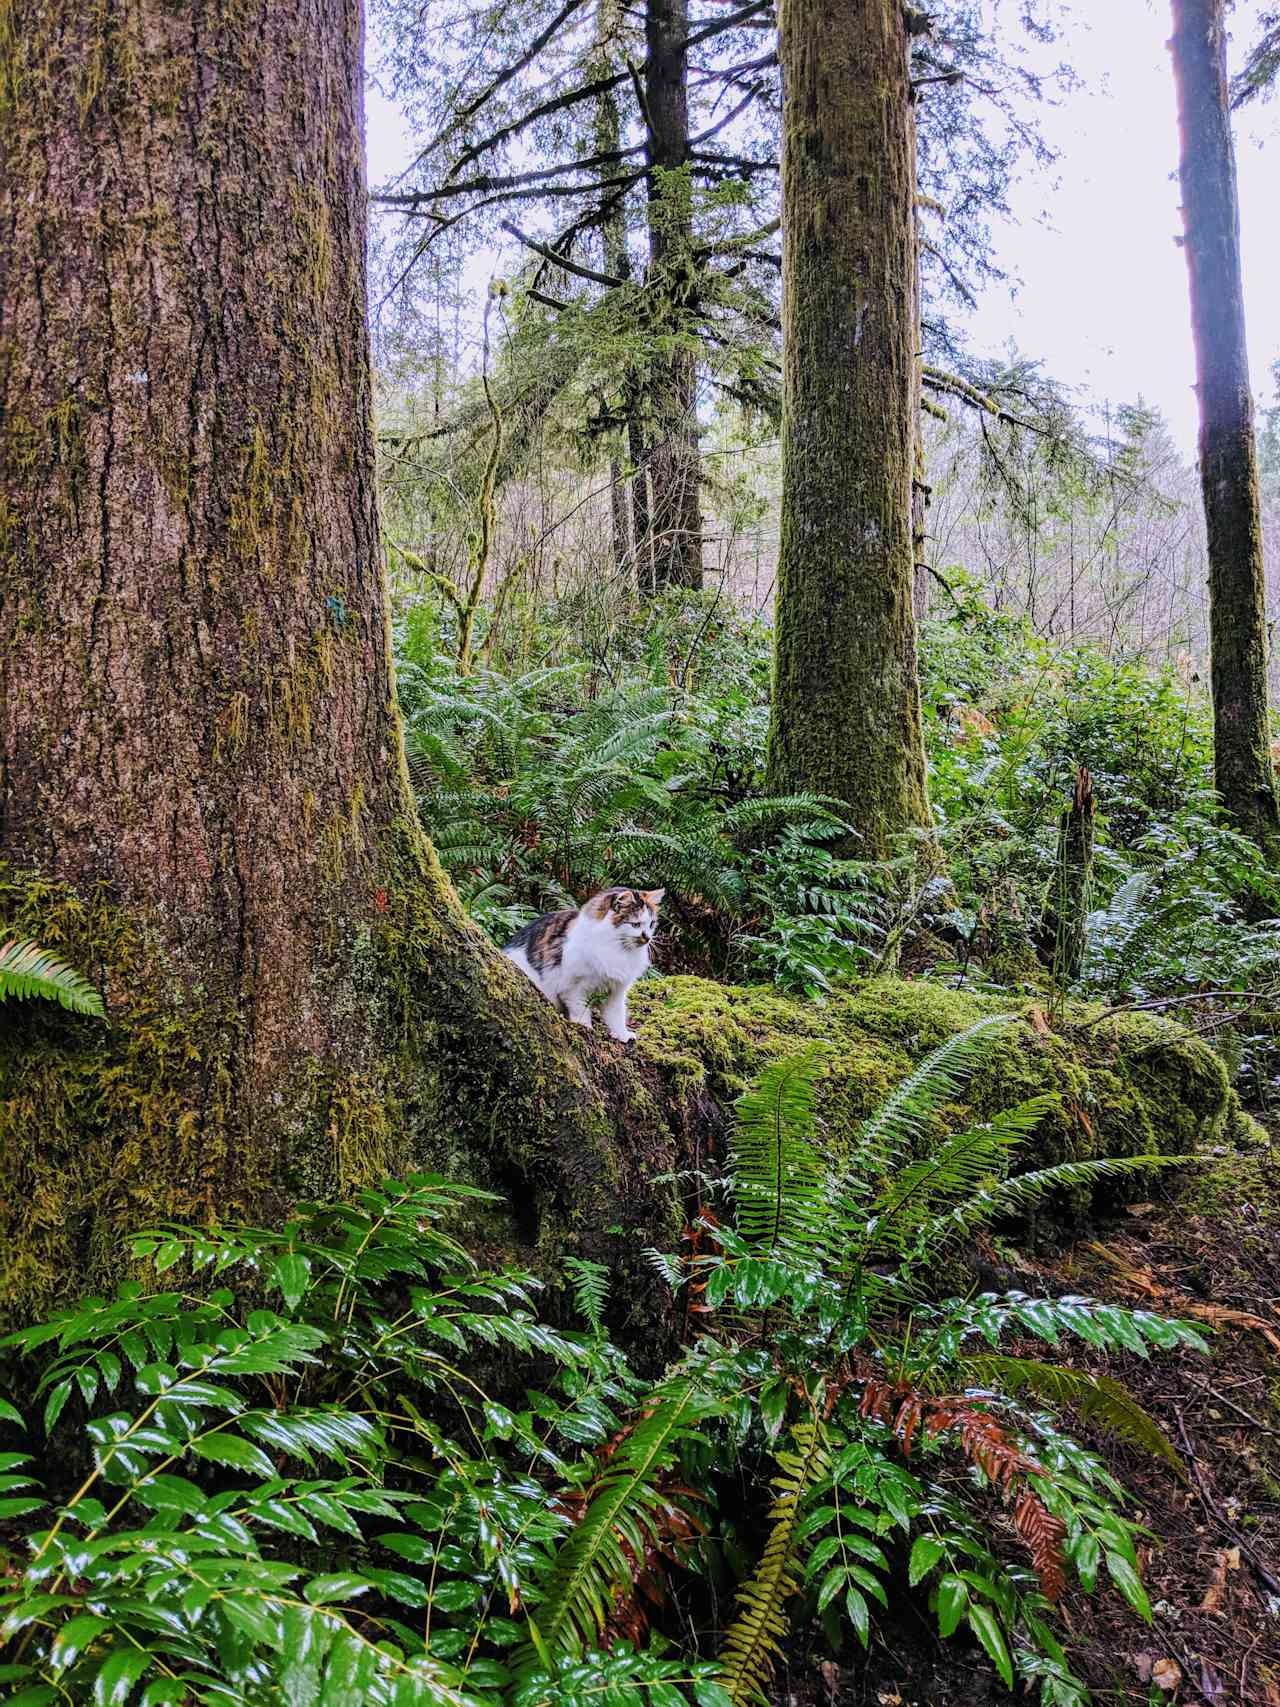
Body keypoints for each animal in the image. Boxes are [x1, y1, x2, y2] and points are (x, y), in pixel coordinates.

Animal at [501, 887, 665, 1044]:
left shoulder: (616, 991)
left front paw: (622, 1035)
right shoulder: (574, 989)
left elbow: (617, 1016)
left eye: (652, 924)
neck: (618, 950)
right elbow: (581, 1012)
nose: (647, 938)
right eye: (635, 924)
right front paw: (585, 1029)